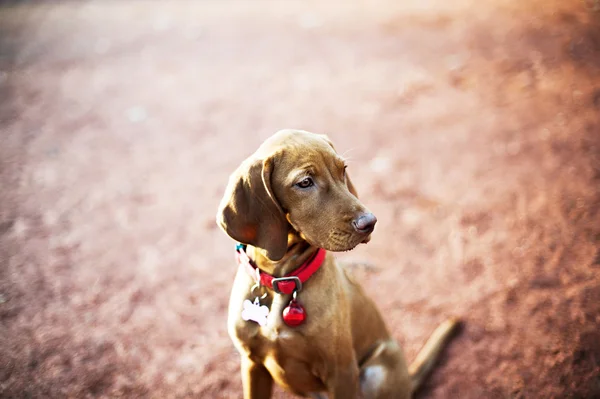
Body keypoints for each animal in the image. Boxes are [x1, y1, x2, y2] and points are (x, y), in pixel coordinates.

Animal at [218, 130, 458, 398]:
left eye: (342, 170)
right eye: (305, 182)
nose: (370, 222)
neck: (282, 280)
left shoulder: (341, 370)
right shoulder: (252, 364)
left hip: (378, 371)